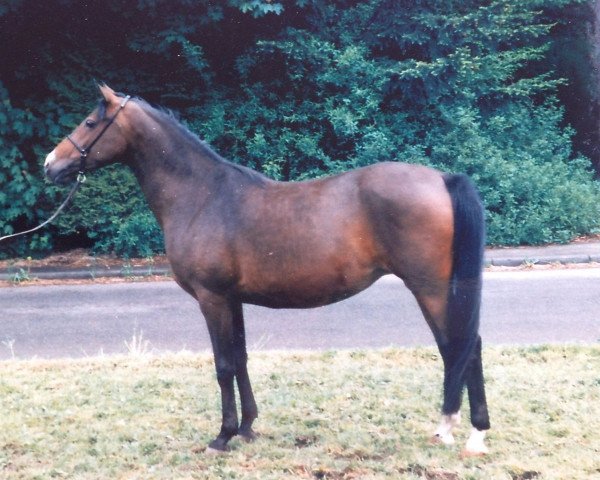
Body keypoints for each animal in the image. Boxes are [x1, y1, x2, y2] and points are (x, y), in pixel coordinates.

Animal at [44, 84, 490, 456]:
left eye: (90, 123)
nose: (50, 164)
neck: (203, 196)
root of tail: (443, 179)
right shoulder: (232, 299)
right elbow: (241, 358)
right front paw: (247, 428)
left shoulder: (212, 298)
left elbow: (223, 364)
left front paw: (222, 436)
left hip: (430, 288)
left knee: (461, 346)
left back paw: (461, 431)